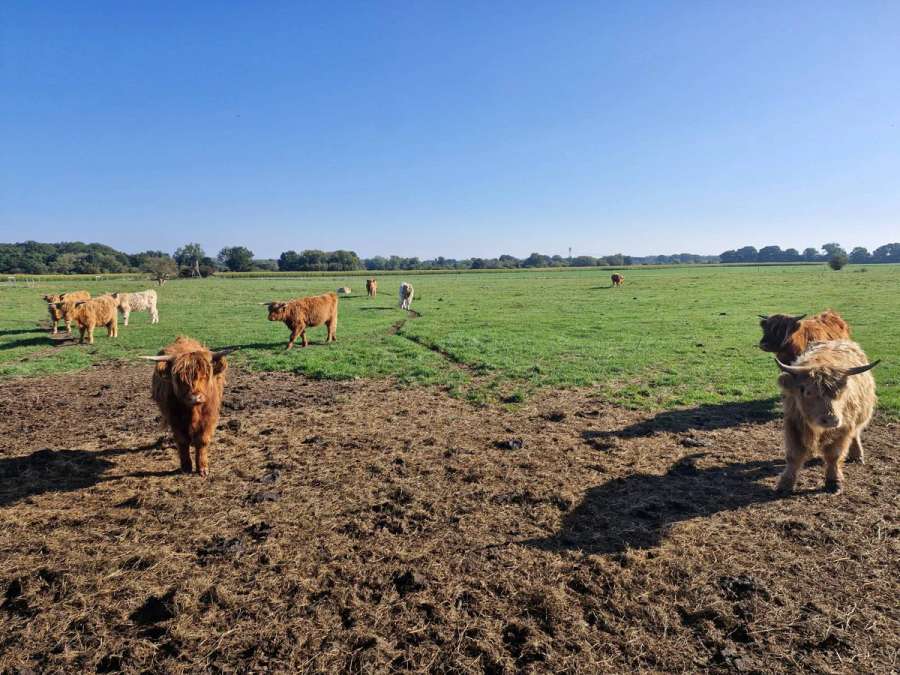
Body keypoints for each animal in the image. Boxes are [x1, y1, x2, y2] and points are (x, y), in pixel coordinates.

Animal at [143, 337, 235, 477]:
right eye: (179, 378)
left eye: (205, 374)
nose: (195, 397)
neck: (194, 411)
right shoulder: (174, 419)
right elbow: (182, 441)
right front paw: (186, 467)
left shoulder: (209, 417)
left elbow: (202, 440)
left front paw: (202, 468)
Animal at [775, 340, 879, 495]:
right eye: (807, 391)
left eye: (840, 392)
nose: (831, 420)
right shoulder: (793, 423)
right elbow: (794, 456)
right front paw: (785, 484)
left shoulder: (844, 428)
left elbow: (834, 456)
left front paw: (834, 482)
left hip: (861, 415)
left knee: (856, 434)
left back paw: (857, 455)